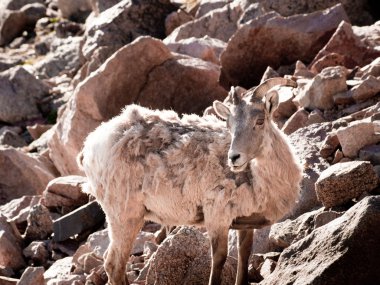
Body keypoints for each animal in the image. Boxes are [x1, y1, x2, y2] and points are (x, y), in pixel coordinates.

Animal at [79, 77, 302, 284]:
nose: (234, 158)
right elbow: (219, 260)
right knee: (113, 265)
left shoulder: (245, 223)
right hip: (124, 216)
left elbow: (244, 254)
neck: (260, 180)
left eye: (260, 121)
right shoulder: (217, 217)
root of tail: (91, 147)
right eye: (229, 125)